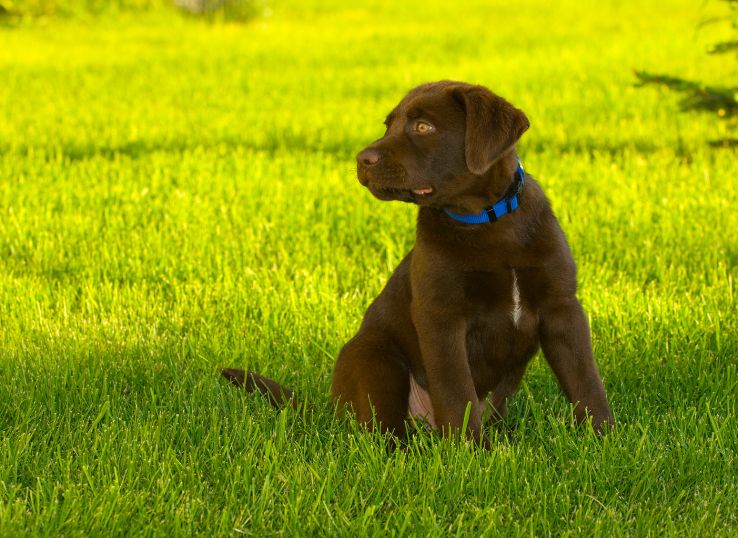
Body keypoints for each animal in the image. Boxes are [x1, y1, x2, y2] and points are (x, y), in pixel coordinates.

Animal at [221, 79, 612, 440]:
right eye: (388, 125)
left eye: (423, 127)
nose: (361, 159)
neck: (486, 220)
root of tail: (333, 407)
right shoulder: (441, 318)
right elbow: (456, 392)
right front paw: (474, 451)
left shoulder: (562, 308)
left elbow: (585, 379)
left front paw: (604, 438)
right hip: (377, 362)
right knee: (385, 432)